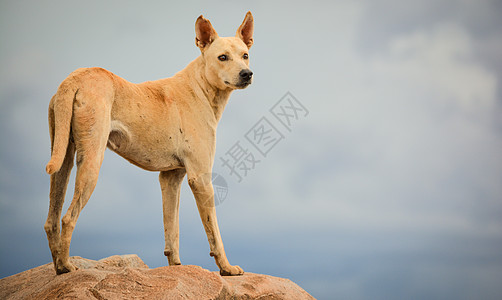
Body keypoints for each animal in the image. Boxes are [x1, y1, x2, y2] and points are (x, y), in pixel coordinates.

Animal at [44, 12, 255, 276]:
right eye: (222, 57)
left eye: (245, 55)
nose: (247, 74)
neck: (201, 87)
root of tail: (74, 78)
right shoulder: (201, 178)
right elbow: (214, 233)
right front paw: (226, 268)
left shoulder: (171, 177)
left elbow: (172, 229)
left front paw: (176, 266)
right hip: (91, 162)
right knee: (68, 217)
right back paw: (66, 266)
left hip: (62, 159)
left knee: (52, 220)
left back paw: (57, 266)